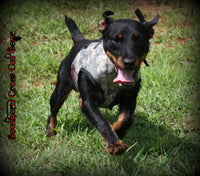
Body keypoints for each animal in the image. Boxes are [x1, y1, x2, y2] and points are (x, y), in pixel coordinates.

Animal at [45, 9, 159, 155]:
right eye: (116, 39)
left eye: (140, 39)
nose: (129, 62)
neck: (112, 75)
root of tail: (81, 41)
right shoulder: (89, 100)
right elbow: (102, 121)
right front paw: (114, 144)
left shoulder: (130, 98)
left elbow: (126, 119)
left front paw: (117, 131)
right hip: (61, 87)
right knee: (53, 110)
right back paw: (50, 132)